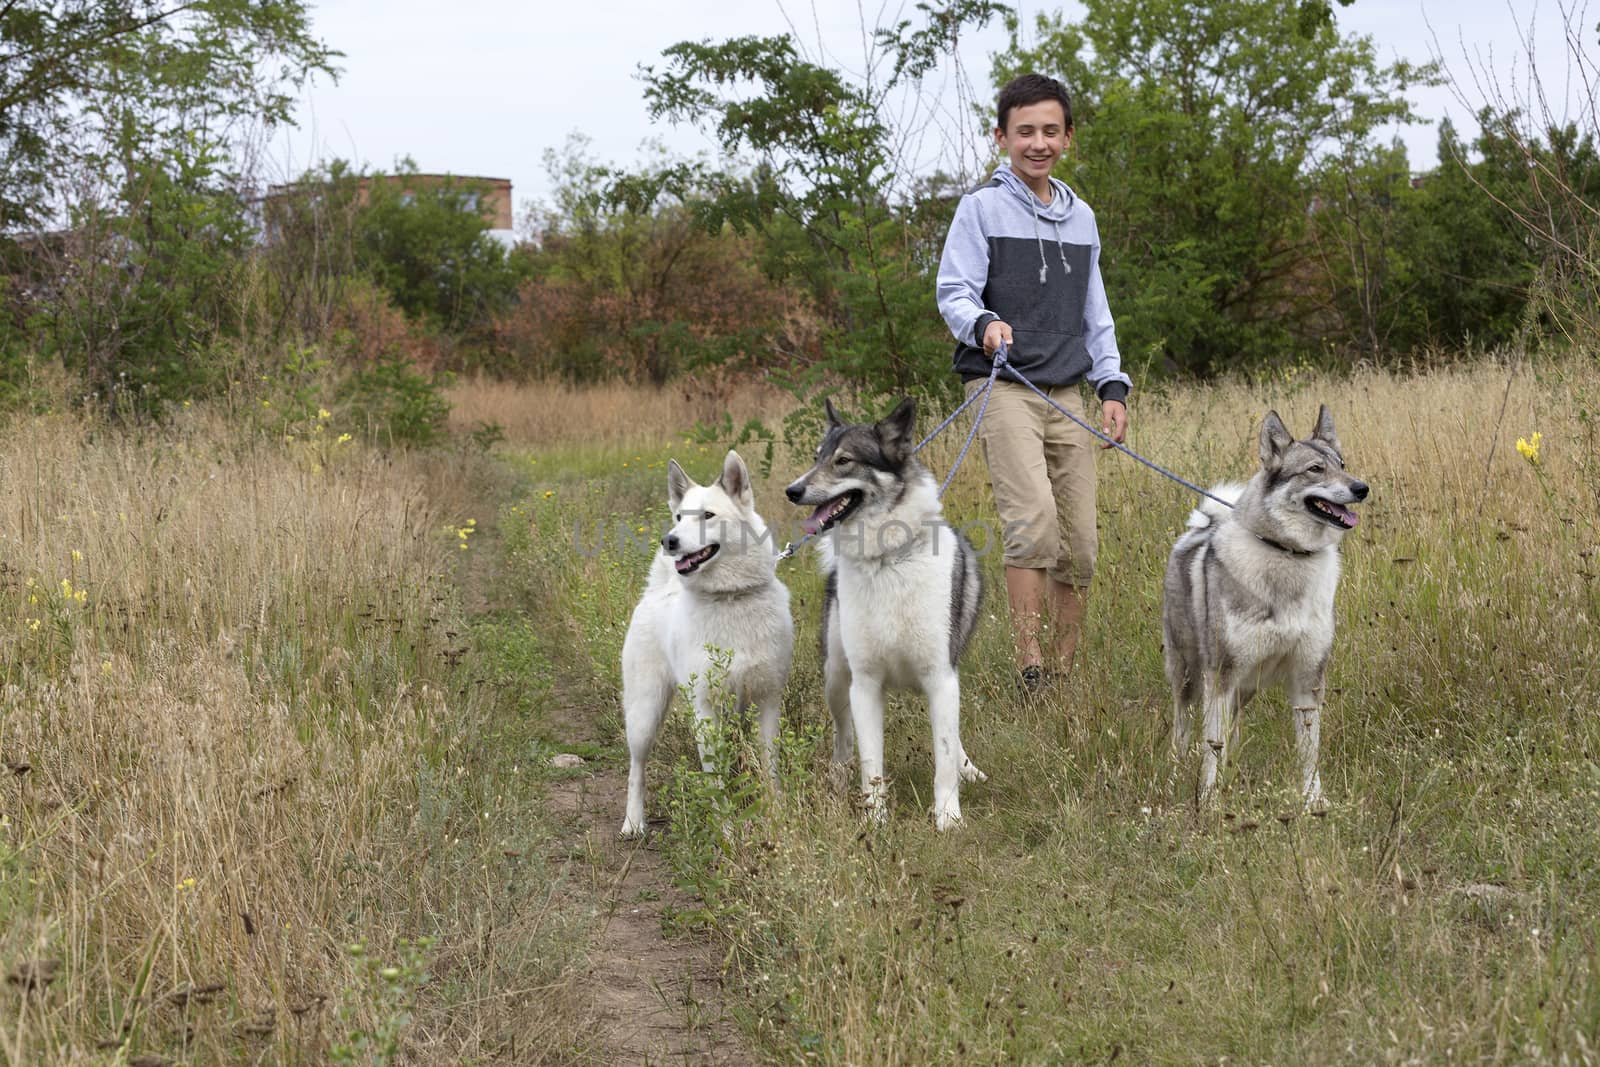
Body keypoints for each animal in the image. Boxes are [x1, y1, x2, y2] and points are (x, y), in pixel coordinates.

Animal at [617, 447, 793, 831]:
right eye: (679, 516)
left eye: (708, 516)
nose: (669, 541)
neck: (730, 597)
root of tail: (658, 591)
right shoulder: (706, 709)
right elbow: (716, 778)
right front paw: (727, 829)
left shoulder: (767, 701)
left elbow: (769, 769)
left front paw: (775, 817)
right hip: (644, 713)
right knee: (636, 769)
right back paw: (633, 822)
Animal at [787, 396, 985, 831]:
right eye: (816, 457)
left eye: (843, 461)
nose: (791, 490)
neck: (887, 561)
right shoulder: (864, 685)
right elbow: (870, 762)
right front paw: (874, 819)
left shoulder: (942, 678)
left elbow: (944, 754)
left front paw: (948, 817)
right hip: (836, 679)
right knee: (843, 738)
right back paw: (838, 778)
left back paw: (968, 767)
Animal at [1158, 409, 1369, 809]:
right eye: (1315, 469)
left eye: (1343, 465)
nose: (1362, 488)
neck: (1287, 553)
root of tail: (1201, 528)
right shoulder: (1220, 676)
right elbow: (1210, 744)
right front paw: (1209, 802)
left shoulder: (1307, 678)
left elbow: (1308, 751)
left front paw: (1313, 801)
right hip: (1190, 675)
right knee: (1183, 725)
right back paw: (1177, 769)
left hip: (1245, 687)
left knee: (1232, 730)